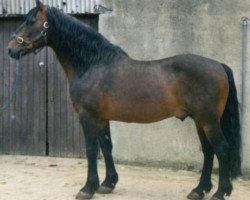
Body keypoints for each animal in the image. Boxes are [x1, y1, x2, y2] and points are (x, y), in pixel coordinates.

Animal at [7, 0, 241, 199]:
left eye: (31, 21)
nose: (10, 48)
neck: (92, 65)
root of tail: (218, 65)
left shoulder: (87, 117)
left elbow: (92, 149)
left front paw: (87, 188)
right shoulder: (101, 119)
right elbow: (106, 147)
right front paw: (107, 184)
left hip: (208, 120)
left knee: (222, 149)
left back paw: (220, 192)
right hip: (199, 120)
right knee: (209, 151)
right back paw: (199, 190)